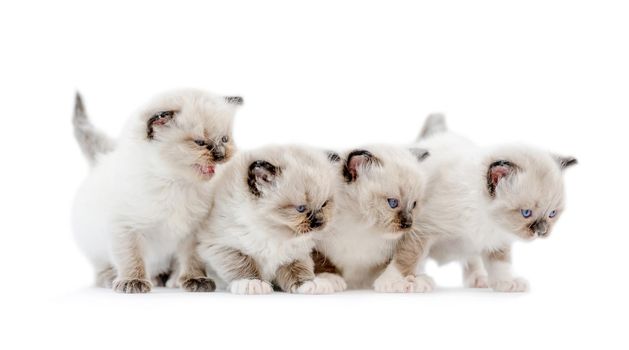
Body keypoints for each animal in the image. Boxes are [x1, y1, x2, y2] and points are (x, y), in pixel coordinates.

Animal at [72, 88, 243, 292]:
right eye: (200, 143)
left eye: (224, 139)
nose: (220, 155)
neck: (176, 184)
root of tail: (102, 160)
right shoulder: (125, 226)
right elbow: (131, 257)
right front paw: (133, 281)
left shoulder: (194, 231)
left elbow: (192, 259)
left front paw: (195, 279)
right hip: (94, 244)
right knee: (103, 267)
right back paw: (114, 278)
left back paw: (169, 280)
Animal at [185, 144, 338, 294]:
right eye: (301, 208)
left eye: (324, 204)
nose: (319, 222)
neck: (274, 233)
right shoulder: (220, 246)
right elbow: (242, 264)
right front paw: (252, 282)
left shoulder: (295, 253)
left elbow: (299, 269)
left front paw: (308, 283)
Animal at [312, 145, 434, 292]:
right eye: (393, 202)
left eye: (414, 204)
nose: (408, 223)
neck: (360, 226)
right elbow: (319, 260)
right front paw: (328, 279)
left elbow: (396, 263)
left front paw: (399, 281)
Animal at [394, 113, 576, 292]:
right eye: (526, 213)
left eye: (552, 214)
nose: (542, 231)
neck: (485, 219)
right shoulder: (419, 230)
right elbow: (408, 258)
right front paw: (406, 281)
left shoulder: (497, 239)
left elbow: (500, 263)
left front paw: (506, 282)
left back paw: (478, 279)